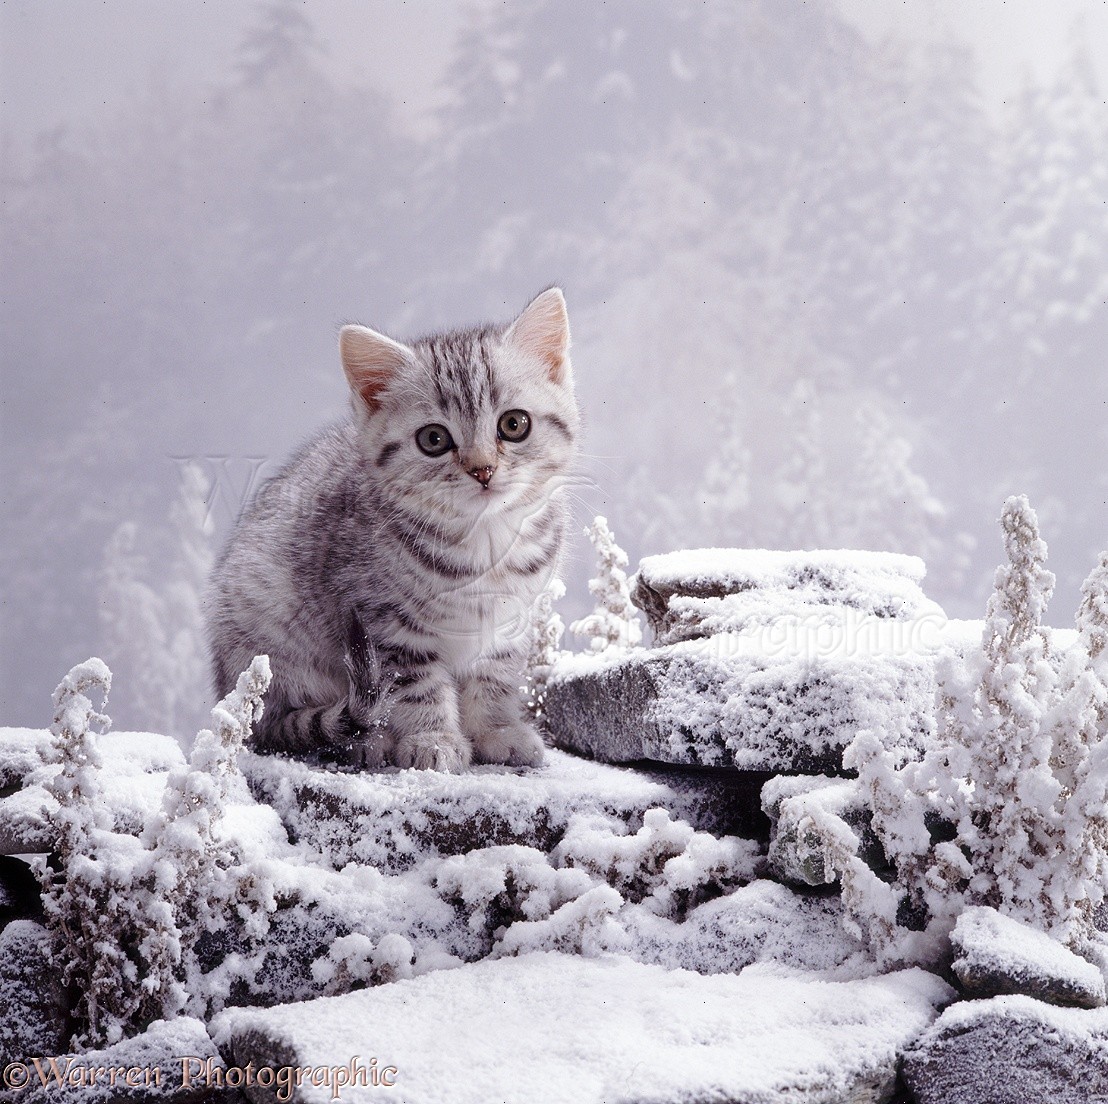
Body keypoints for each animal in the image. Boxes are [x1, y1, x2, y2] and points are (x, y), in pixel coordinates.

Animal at [204, 288, 580, 771]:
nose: (482, 470)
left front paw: (497, 731)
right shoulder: (385, 624)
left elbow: (494, 681)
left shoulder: (510, 624)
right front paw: (433, 739)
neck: (485, 545)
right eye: (434, 439)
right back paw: (366, 740)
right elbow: (417, 688)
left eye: (514, 424)